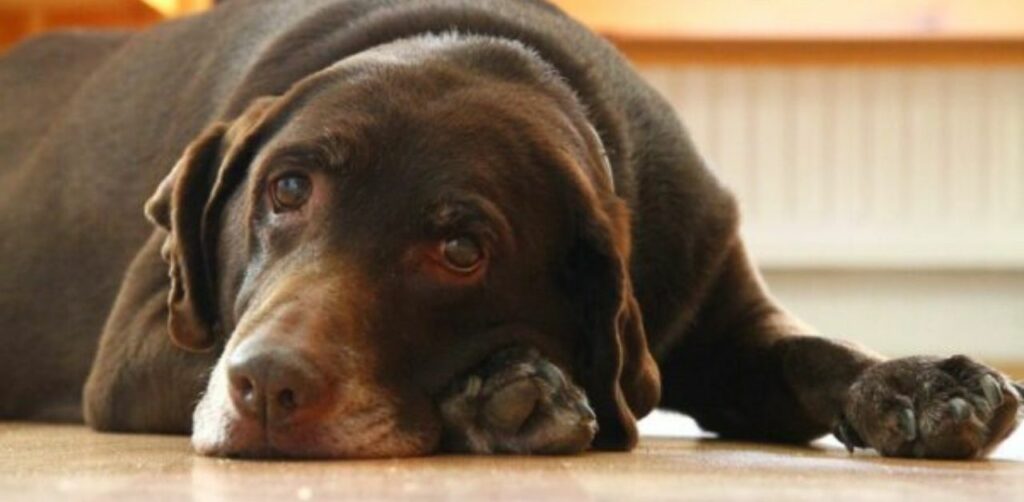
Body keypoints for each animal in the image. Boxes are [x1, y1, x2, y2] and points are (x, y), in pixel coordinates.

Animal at [0, 0, 1019, 456]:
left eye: (462, 252)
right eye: (286, 190)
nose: (266, 390)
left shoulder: (719, 306)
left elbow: (818, 352)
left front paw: (924, 382)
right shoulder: (141, 346)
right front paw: (504, 393)